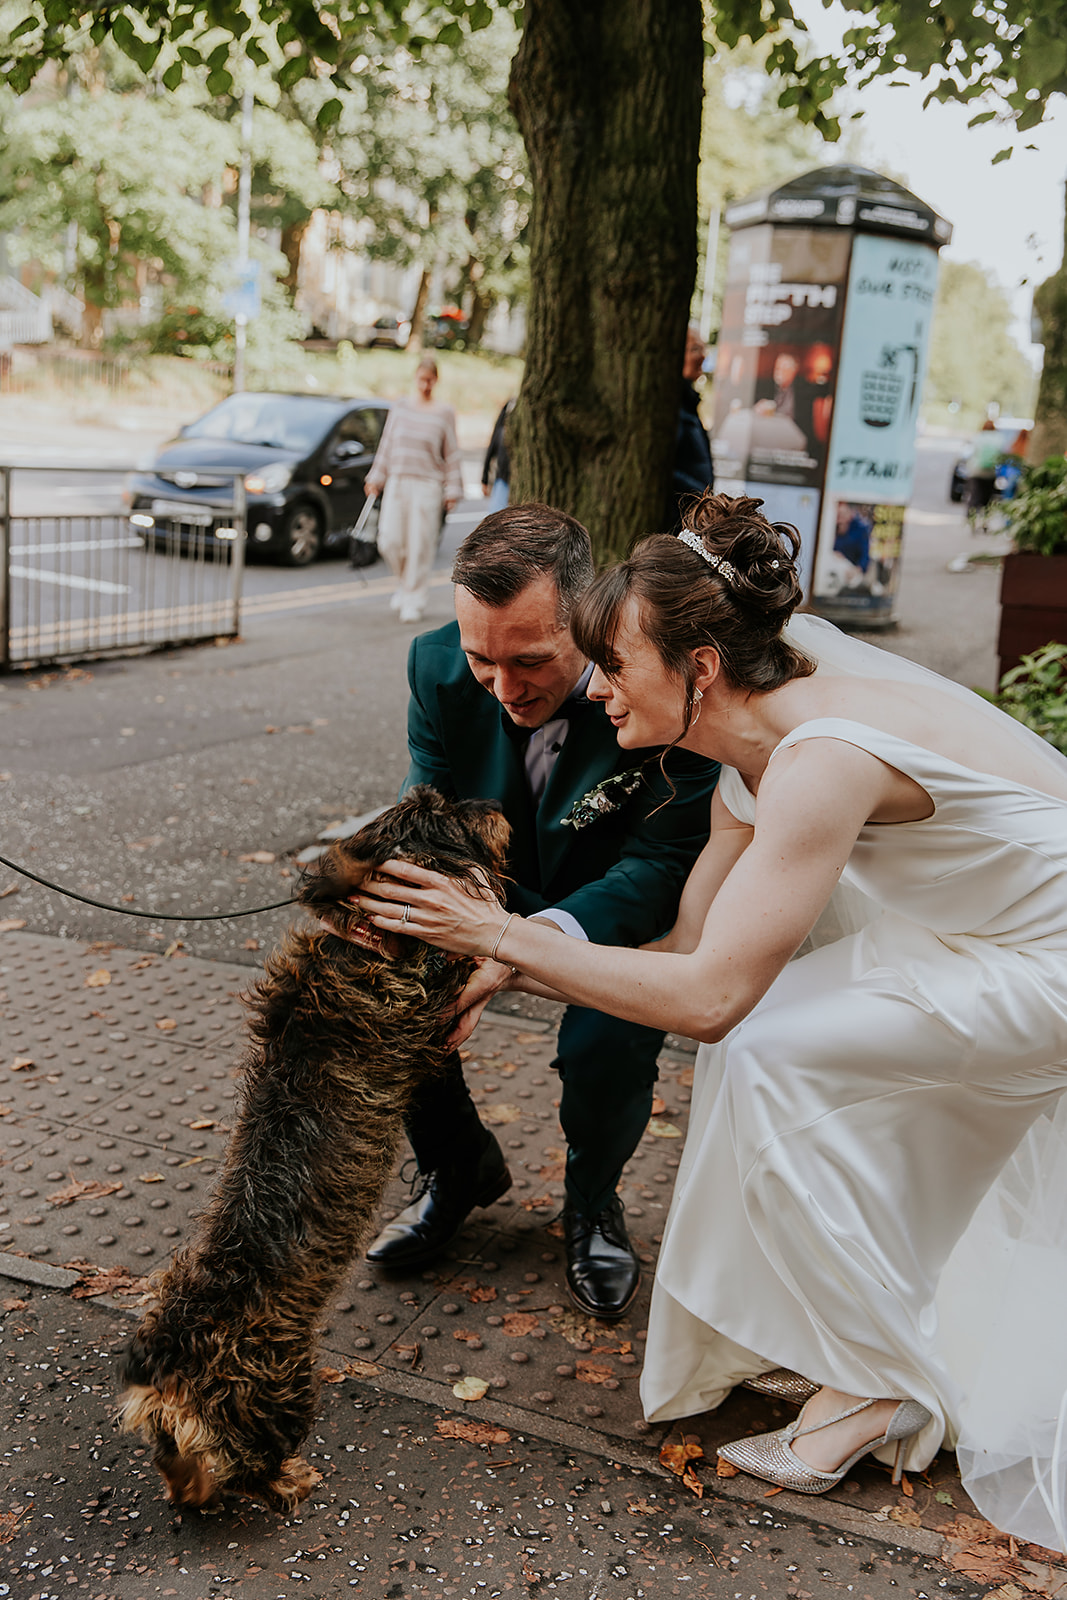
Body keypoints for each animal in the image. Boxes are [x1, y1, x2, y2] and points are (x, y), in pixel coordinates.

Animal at [119, 793, 511, 1516]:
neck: (361, 941)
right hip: (284, 1390)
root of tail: (167, 1375)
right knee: (254, 1468)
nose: (497, 805)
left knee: (185, 1477)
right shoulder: (421, 995)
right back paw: (292, 1480)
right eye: (452, 812)